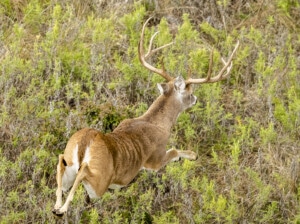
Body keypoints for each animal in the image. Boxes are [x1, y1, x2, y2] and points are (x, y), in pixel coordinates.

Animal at [51, 16, 239, 216]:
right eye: (190, 92)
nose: (195, 99)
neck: (156, 122)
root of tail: (87, 140)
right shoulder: (155, 159)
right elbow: (174, 151)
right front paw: (192, 155)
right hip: (99, 182)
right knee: (83, 172)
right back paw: (61, 209)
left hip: (70, 159)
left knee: (61, 163)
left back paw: (56, 206)